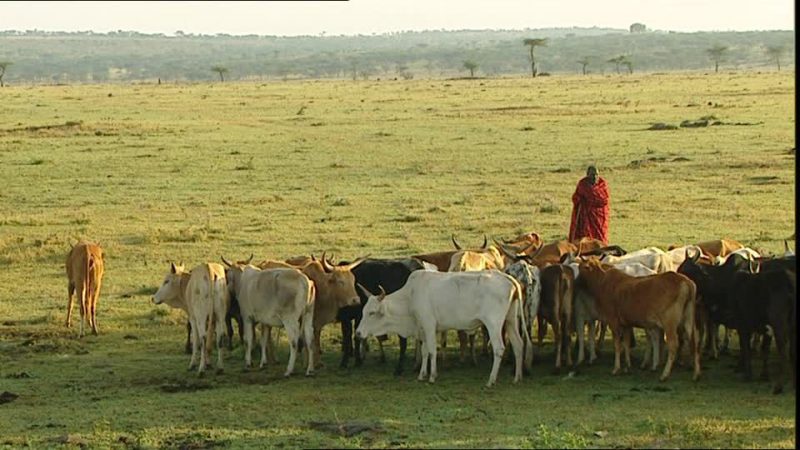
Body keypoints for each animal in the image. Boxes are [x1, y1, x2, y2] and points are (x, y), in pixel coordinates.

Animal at [356, 268, 532, 388]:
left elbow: (432, 351)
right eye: (363, 311)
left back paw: (491, 380)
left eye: (372, 313)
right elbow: (425, 351)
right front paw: (422, 374)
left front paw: (432, 376)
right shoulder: (424, 328)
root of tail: (507, 278)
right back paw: (517, 378)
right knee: (518, 344)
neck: (410, 296)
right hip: (510, 320)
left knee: (499, 348)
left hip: (493, 324)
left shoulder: (428, 324)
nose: (357, 333)